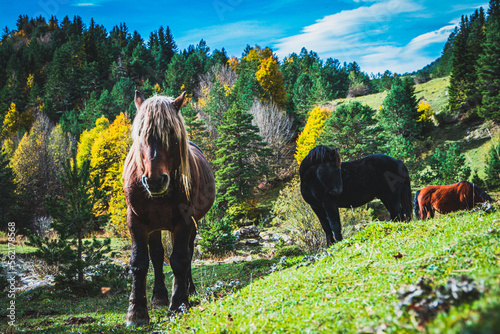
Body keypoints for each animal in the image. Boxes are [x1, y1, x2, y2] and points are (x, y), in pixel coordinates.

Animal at [123, 91, 215, 326]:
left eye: (172, 134)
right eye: (140, 134)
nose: (155, 181)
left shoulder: (184, 221)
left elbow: (180, 260)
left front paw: (179, 305)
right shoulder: (136, 220)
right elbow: (139, 262)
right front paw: (136, 312)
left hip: (190, 226)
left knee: (187, 253)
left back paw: (188, 290)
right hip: (155, 227)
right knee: (157, 256)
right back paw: (159, 297)